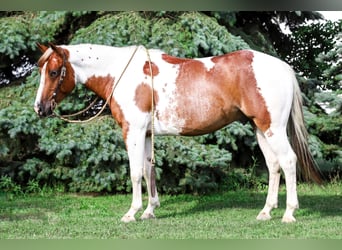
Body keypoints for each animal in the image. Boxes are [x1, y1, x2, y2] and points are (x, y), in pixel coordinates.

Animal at [34, 43, 320, 223]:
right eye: (41, 70)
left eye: (53, 71)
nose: (39, 108)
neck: (121, 74)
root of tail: (283, 67)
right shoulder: (146, 135)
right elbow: (148, 171)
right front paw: (150, 211)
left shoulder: (133, 131)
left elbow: (135, 173)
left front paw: (131, 213)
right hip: (260, 128)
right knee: (274, 166)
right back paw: (266, 212)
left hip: (273, 128)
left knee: (288, 162)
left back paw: (289, 214)